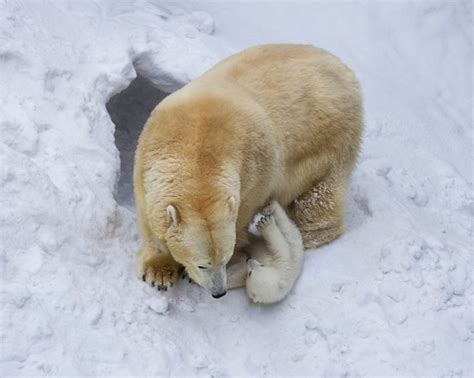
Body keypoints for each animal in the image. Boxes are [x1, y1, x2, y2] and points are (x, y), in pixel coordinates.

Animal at [133, 44, 362, 298]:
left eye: (224, 259)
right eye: (203, 264)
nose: (218, 292)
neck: (196, 149)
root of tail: (346, 71)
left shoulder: (254, 173)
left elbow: (242, 215)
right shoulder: (147, 160)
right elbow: (151, 219)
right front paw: (159, 273)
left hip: (325, 139)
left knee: (317, 194)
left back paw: (310, 233)